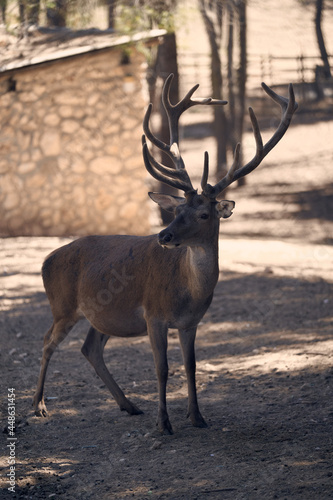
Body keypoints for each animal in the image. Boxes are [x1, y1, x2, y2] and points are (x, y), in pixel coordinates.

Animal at [33, 74, 296, 434]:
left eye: (204, 214)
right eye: (177, 209)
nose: (164, 235)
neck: (189, 293)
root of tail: (46, 260)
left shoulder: (191, 323)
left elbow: (191, 366)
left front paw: (197, 417)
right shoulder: (154, 314)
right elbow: (162, 369)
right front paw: (164, 423)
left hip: (102, 313)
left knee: (90, 348)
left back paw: (129, 405)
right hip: (62, 305)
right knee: (47, 341)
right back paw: (39, 406)